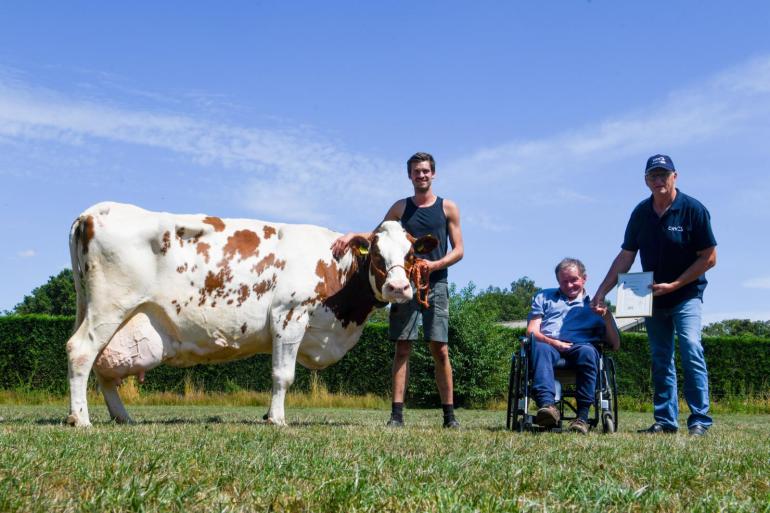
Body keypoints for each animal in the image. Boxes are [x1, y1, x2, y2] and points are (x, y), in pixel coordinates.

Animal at [66, 202, 436, 426]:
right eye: (376, 253)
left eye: (410, 255)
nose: (398, 288)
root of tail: (94, 212)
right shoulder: (290, 316)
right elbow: (283, 375)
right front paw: (277, 420)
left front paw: (268, 415)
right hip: (109, 307)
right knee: (81, 352)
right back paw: (80, 418)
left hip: (100, 311)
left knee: (102, 367)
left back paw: (123, 417)